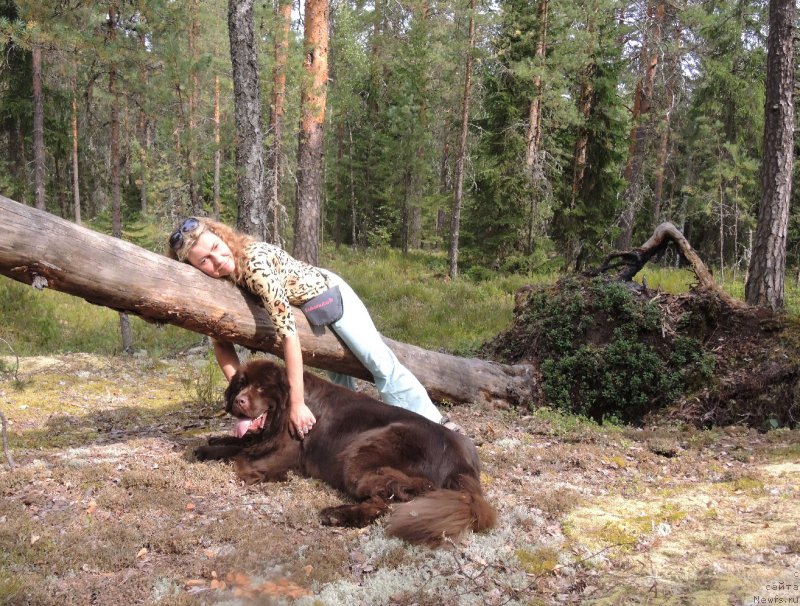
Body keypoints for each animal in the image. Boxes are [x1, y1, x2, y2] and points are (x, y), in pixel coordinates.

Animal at [195, 358, 494, 548]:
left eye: (261, 387)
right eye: (241, 384)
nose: (238, 401)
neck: (285, 408)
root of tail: (461, 460)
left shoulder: (281, 455)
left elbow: (240, 455)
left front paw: (216, 451)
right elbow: (238, 442)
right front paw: (208, 444)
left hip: (363, 453)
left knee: (399, 496)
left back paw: (337, 514)